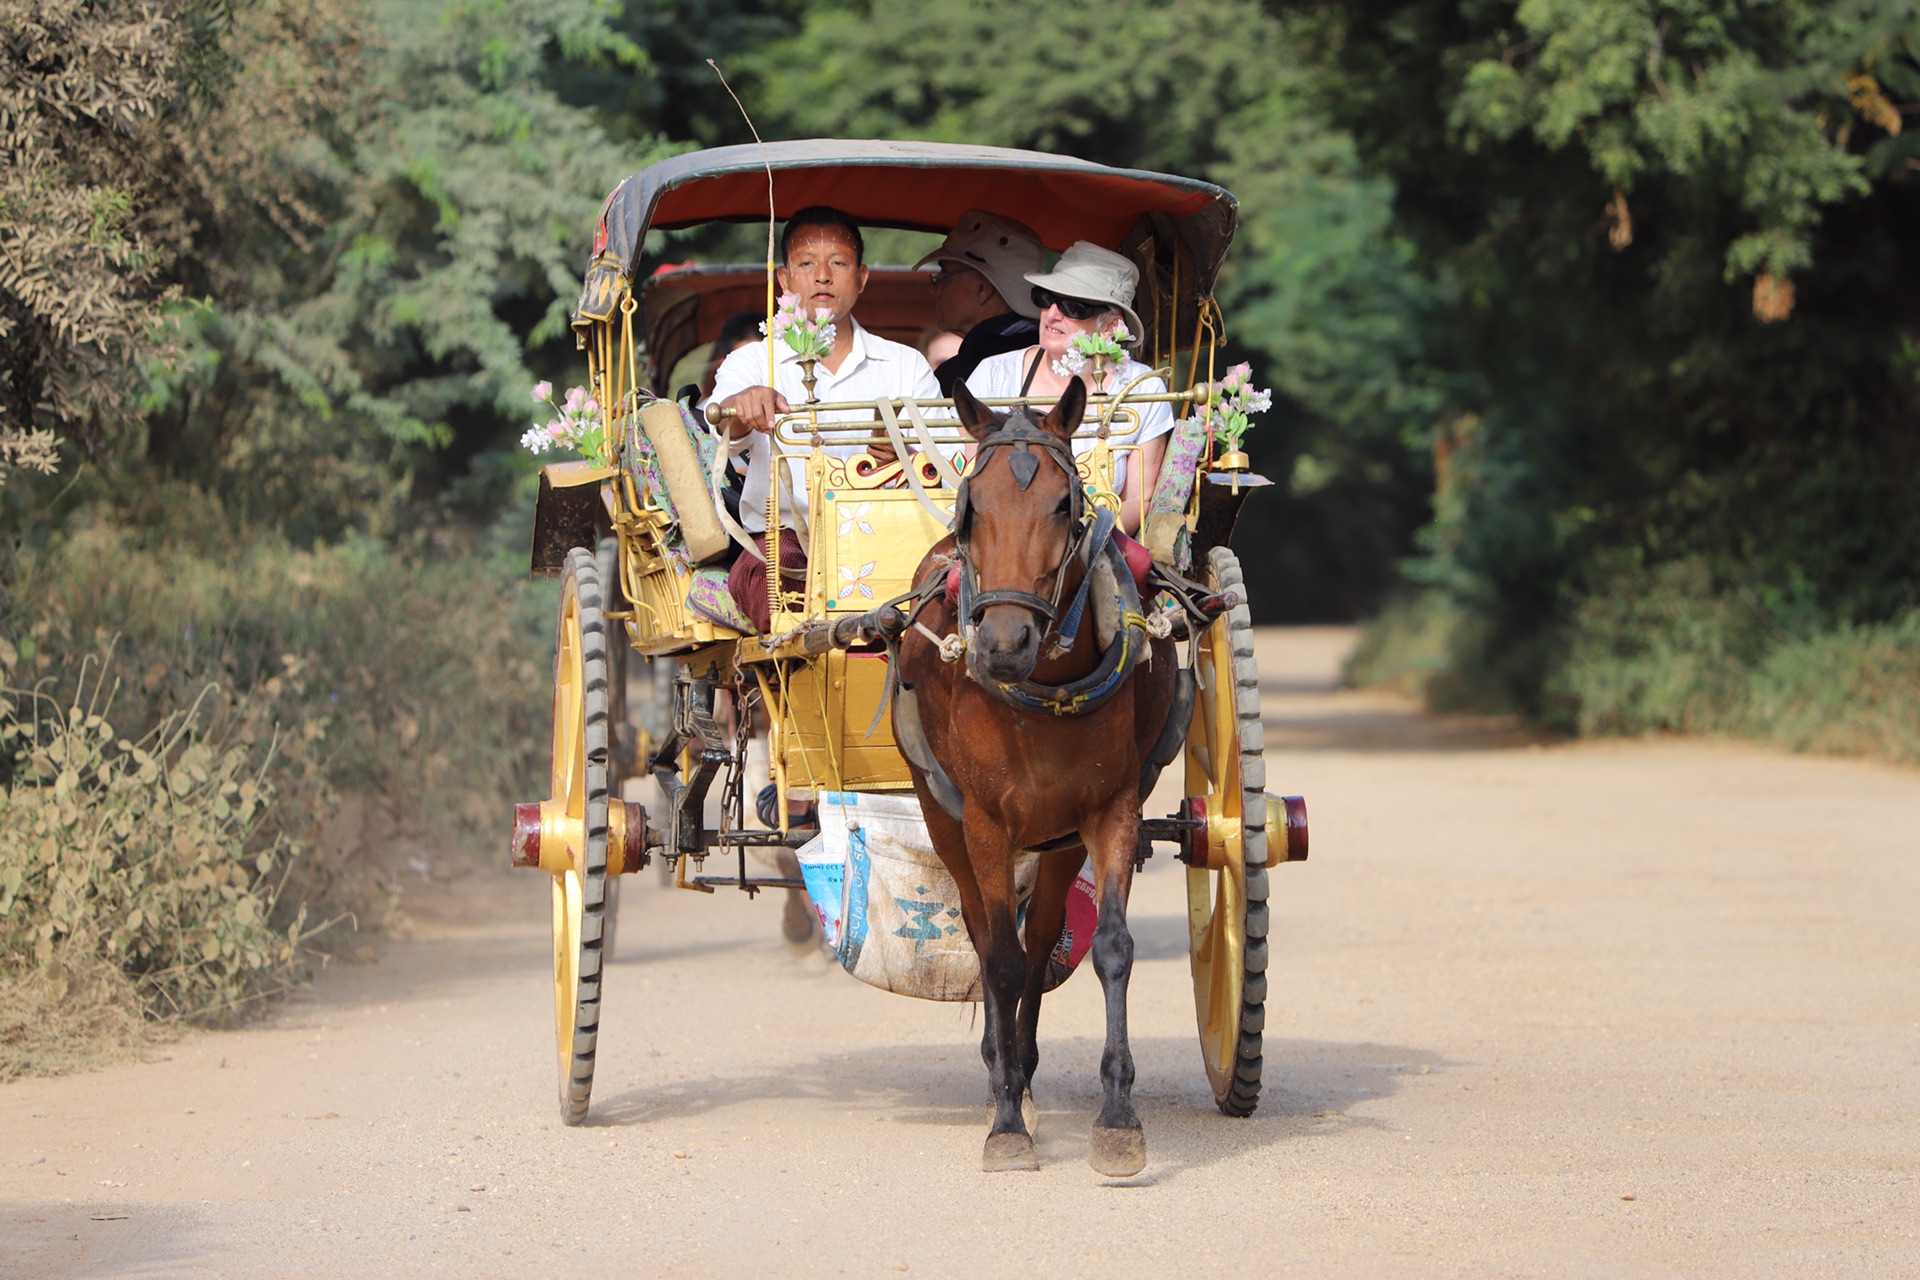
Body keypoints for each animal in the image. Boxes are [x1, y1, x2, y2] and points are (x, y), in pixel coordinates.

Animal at [890, 376, 1175, 1174]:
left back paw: (1024, 1064)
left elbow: (1110, 948)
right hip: (943, 814)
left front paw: (1118, 1119)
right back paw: (1004, 1074)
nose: (1004, 641)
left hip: (1059, 838)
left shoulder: (1109, 810)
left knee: (1043, 931)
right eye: (972, 507)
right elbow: (1001, 962)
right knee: (988, 936)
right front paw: (1007, 1123)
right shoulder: (985, 821)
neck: (1042, 688)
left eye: (1062, 505)